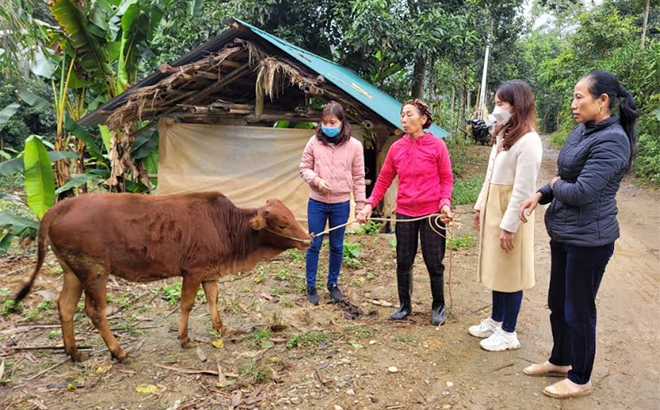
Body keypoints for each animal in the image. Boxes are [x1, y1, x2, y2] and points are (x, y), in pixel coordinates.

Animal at [14, 192, 310, 362]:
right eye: (282, 224)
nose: (308, 239)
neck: (226, 226)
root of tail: (59, 207)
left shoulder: (210, 273)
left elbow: (214, 300)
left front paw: (221, 329)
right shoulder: (193, 271)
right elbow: (187, 305)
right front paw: (185, 339)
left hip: (72, 271)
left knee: (65, 306)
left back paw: (73, 352)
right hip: (95, 271)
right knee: (95, 312)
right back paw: (119, 352)